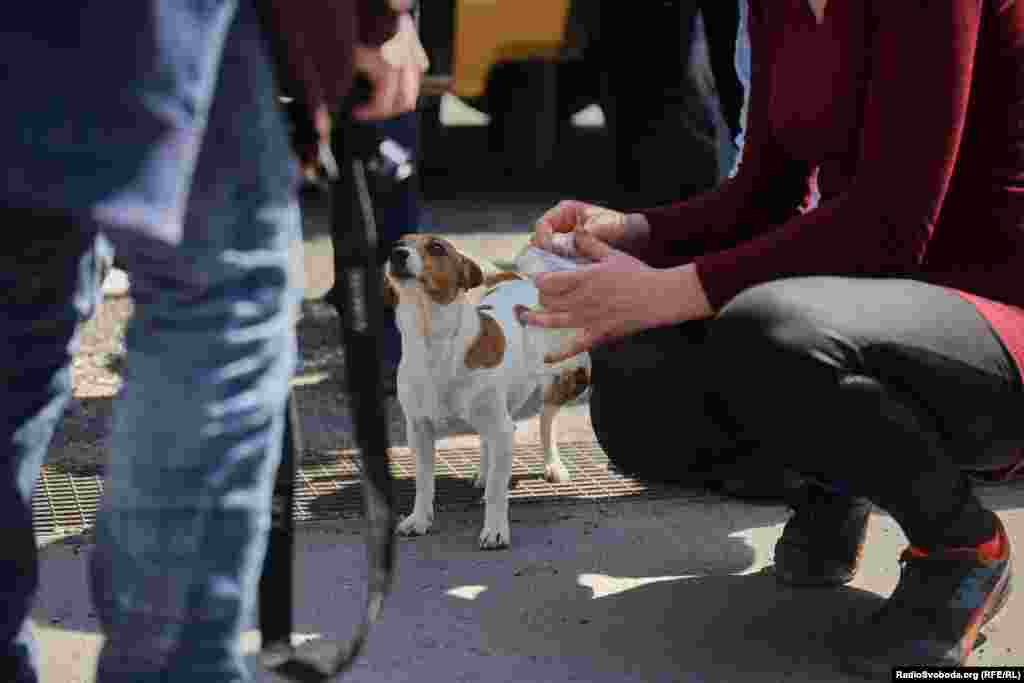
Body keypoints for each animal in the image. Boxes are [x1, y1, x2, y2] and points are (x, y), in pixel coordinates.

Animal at [385, 235, 593, 548]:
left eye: (436, 247)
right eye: (398, 243)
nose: (397, 254)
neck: (434, 344)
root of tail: (520, 280)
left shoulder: (502, 428)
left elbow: (497, 489)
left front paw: (495, 530)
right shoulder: (419, 430)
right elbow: (423, 482)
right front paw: (419, 519)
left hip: (572, 377)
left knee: (546, 420)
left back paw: (552, 465)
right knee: (490, 439)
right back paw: (485, 470)